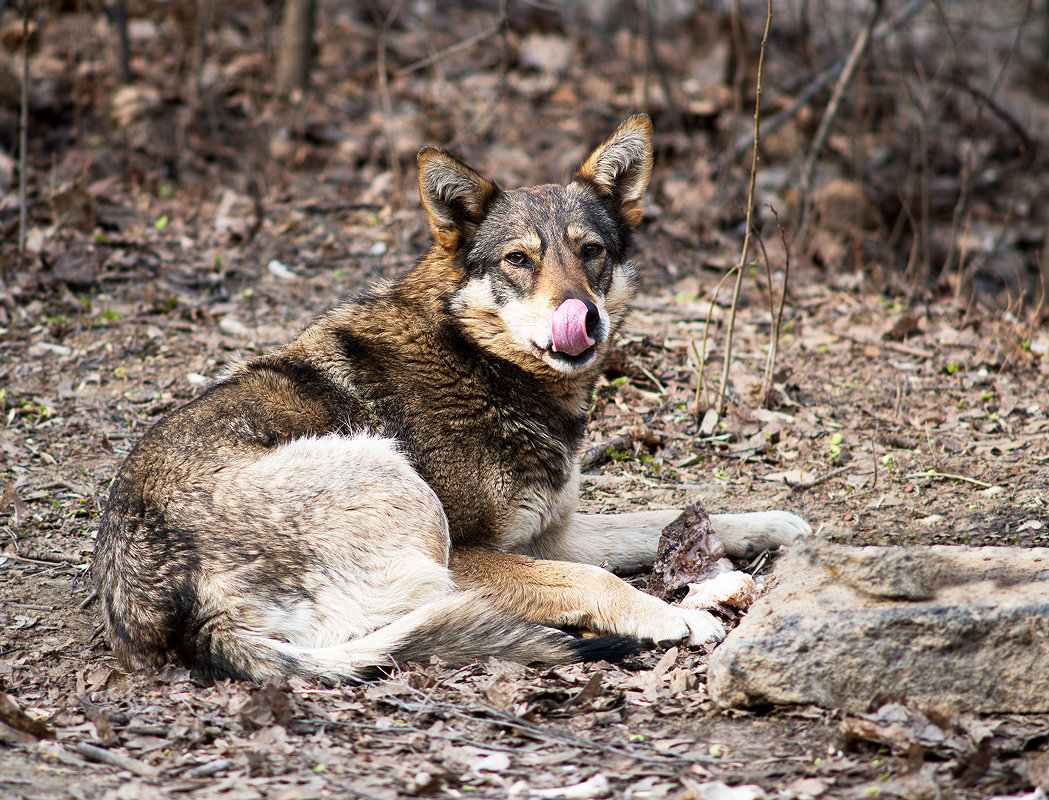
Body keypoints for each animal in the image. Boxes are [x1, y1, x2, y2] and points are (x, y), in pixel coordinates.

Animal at [92, 117, 809, 683]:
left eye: (591, 252)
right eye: (519, 260)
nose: (583, 317)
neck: (483, 363)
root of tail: (189, 613)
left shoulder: (552, 533)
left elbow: (667, 517)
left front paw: (777, 525)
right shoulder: (475, 553)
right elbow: (596, 579)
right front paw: (671, 616)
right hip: (398, 488)